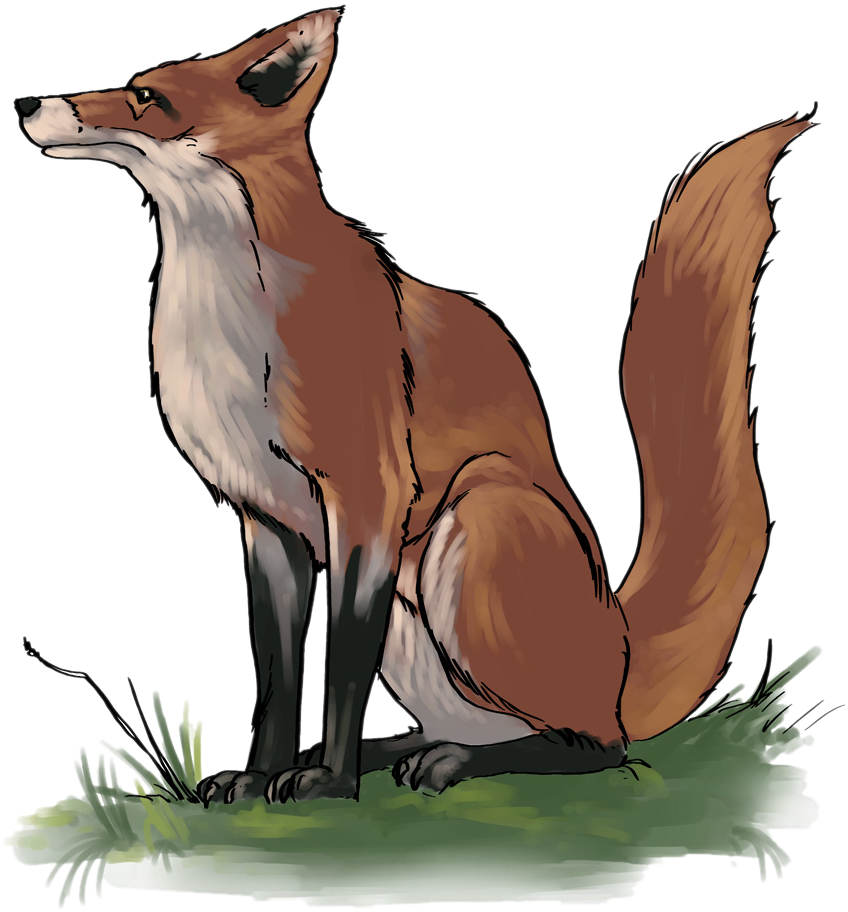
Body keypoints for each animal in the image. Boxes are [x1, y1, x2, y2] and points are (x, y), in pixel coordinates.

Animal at [13, 4, 821, 803]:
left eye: (146, 95)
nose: (24, 102)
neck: (230, 324)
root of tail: (619, 644)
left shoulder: (367, 497)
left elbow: (342, 664)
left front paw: (327, 784)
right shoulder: (265, 521)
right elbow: (276, 676)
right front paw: (261, 775)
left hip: (477, 520)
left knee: (597, 746)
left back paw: (449, 763)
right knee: (477, 726)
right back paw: (403, 749)